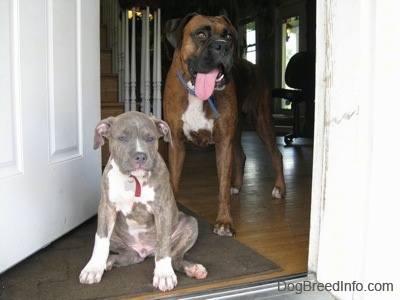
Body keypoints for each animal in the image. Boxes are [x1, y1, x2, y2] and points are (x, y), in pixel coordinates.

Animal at [80, 110, 208, 290]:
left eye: (150, 139)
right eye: (122, 138)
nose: (140, 156)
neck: (133, 178)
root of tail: (145, 250)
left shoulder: (162, 210)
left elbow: (163, 244)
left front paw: (164, 275)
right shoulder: (106, 208)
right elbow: (100, 241)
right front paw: (93, 268)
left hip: (190, 224)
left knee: (174, 257)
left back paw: (193, 269)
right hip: (117, 237)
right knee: (131, 255)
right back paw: (109, 261)